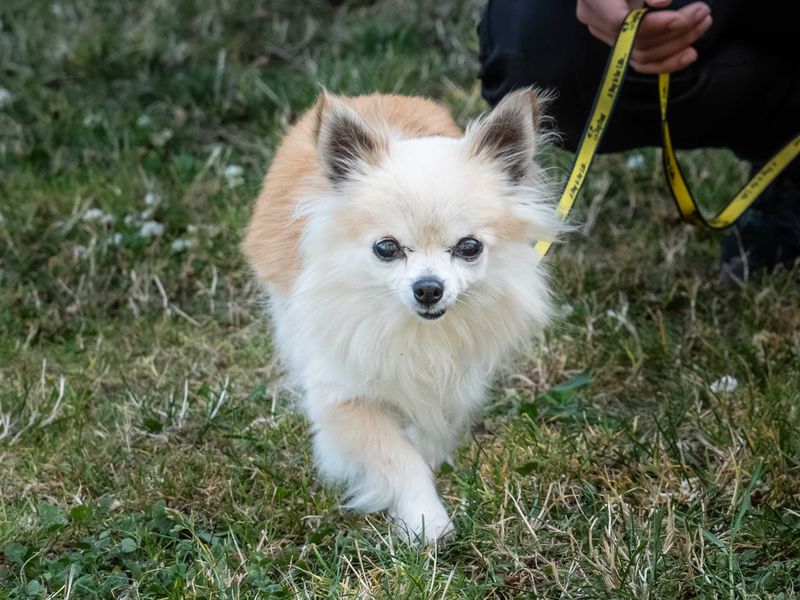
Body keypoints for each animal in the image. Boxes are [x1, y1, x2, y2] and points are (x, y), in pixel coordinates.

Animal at [244, 89, 556, 544]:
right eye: (386, 248)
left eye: (469, 247)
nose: (428, 288)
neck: (416, 332)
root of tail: (374, 95)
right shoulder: (344, 398)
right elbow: (396, 457)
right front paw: (426, 518)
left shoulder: (452, 384)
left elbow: (425, 435)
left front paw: (429, 462)